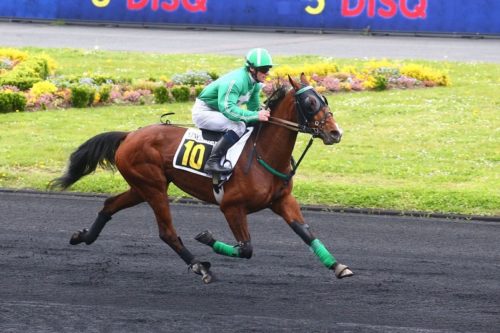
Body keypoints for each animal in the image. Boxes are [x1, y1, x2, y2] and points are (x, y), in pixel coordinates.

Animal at [49, 73, 352, 282]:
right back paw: (199, 266)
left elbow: (306, 233)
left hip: (142, 186)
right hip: (153, 187)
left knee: (110, 204)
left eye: (324, 99)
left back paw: (82, 236)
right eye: (309, 102)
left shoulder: (282, 200)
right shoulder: (231, 206)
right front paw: (206, 238)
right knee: (167, 232)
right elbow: (246, 248)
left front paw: (338, 266)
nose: (335, 133)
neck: (261, 154)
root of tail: (129, 135)